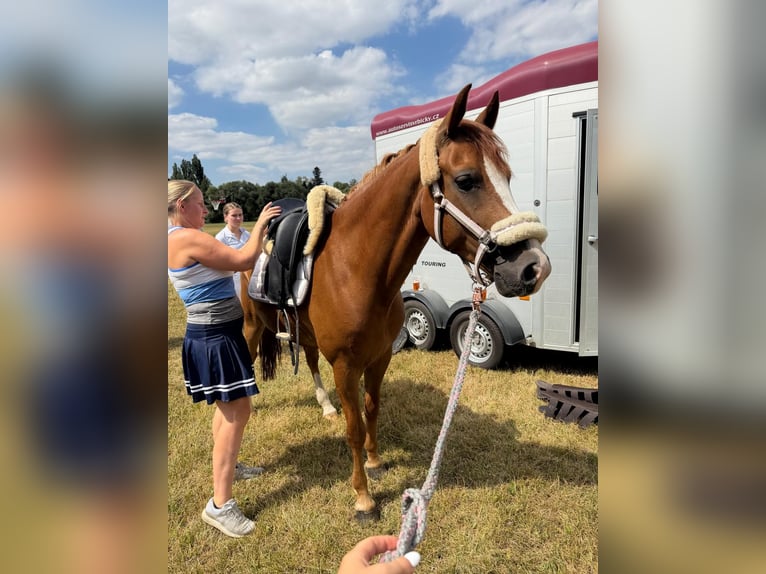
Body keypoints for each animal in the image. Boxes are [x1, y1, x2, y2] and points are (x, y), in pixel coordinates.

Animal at [244, 84, 551, 519]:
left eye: (507, 177)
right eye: (467, 180)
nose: (534, 267)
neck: (355, 269)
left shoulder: (380, 356)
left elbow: (372, 408)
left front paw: (375, 461)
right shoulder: (346, 366)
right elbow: (354, 427)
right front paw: (363, 496)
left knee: (309, 359)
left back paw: (324, 405)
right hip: (252, 325)